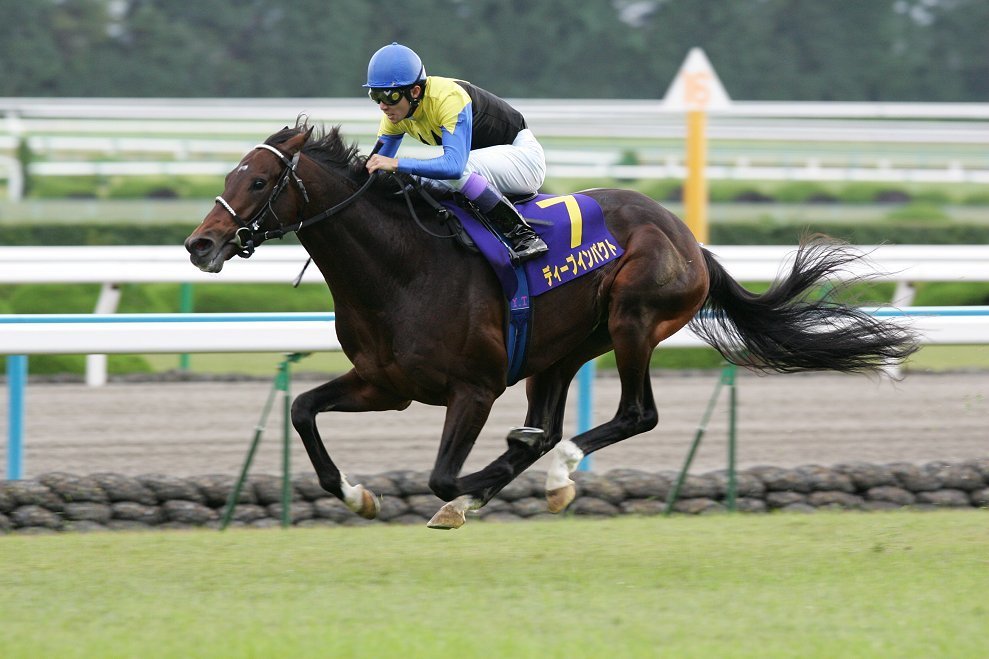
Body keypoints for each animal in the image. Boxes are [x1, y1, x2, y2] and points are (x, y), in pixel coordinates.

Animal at [184, 121, 917, 529]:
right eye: (231, 174)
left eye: (257, 182)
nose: (199, 244)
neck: (402, 268)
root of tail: (689, 238)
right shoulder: (384, 383)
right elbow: (303, 409)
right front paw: (356, 494)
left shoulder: (474, 389)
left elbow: (444, 477)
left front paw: (464, 497)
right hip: (558, 352)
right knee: (549, 421)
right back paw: (532, 454)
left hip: (632, 317)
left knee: (634, 414)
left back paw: (559, 471)